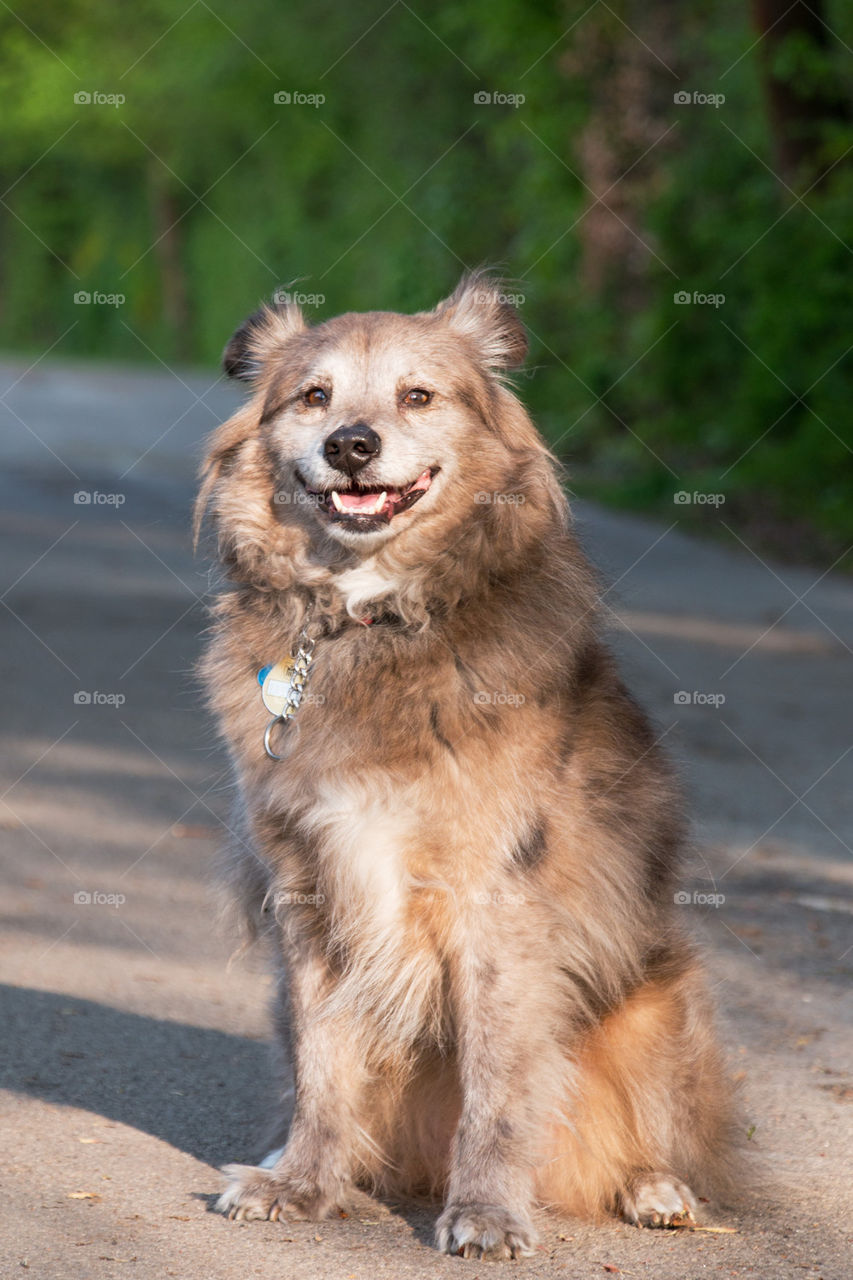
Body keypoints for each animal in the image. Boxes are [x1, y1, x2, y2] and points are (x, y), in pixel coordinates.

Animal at [195, 272, 732, 1259]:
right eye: (313, 396)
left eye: (418, 396)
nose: (350, 445)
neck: (370, 621)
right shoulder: (309, 890)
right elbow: (325, 1061)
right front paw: (304, 1182)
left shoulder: (498, 901)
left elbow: (499, 1079)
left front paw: (484, 1210)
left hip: (656, 997)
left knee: (652, 1131)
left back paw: (654, 1186)